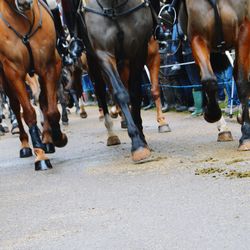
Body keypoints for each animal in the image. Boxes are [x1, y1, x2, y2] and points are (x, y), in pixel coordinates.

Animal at [0, 0, 67, 170]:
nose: (24, 2)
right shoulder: (13, 71)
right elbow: (28, 113)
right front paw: (40, 156)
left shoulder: (50, 66)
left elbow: (52, 110)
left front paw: (58, 138)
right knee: (15, 107)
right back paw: (25, 145)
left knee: (43, 101)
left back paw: (48, 140)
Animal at [80, 0, 155, 162]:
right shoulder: (103, 53)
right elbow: (120, 93)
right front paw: (137, 144)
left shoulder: (139, 50)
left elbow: (135, 93)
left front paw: (141, 137)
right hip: (93, 62)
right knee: (101, 91)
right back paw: (111, 134)